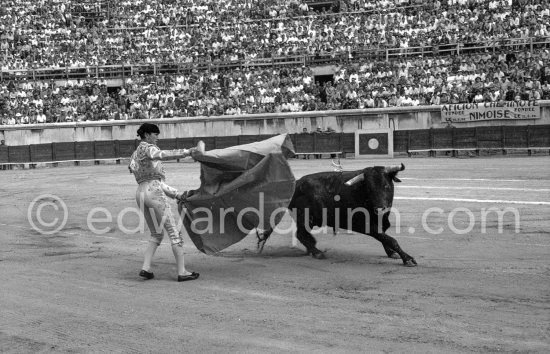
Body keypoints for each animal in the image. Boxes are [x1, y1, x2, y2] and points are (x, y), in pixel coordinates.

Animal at [258, 163, 418, 266]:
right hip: (305, 217)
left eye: (386, 186)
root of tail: (296, 183)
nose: (380, 209)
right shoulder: (366, 225)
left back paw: (312, 249)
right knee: (301, 234)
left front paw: (392, 253)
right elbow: (390, 239)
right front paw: (408, 259)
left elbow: (385, 237)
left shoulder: (382, 223)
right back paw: (317, 252)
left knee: (303, 235)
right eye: (369, 189)